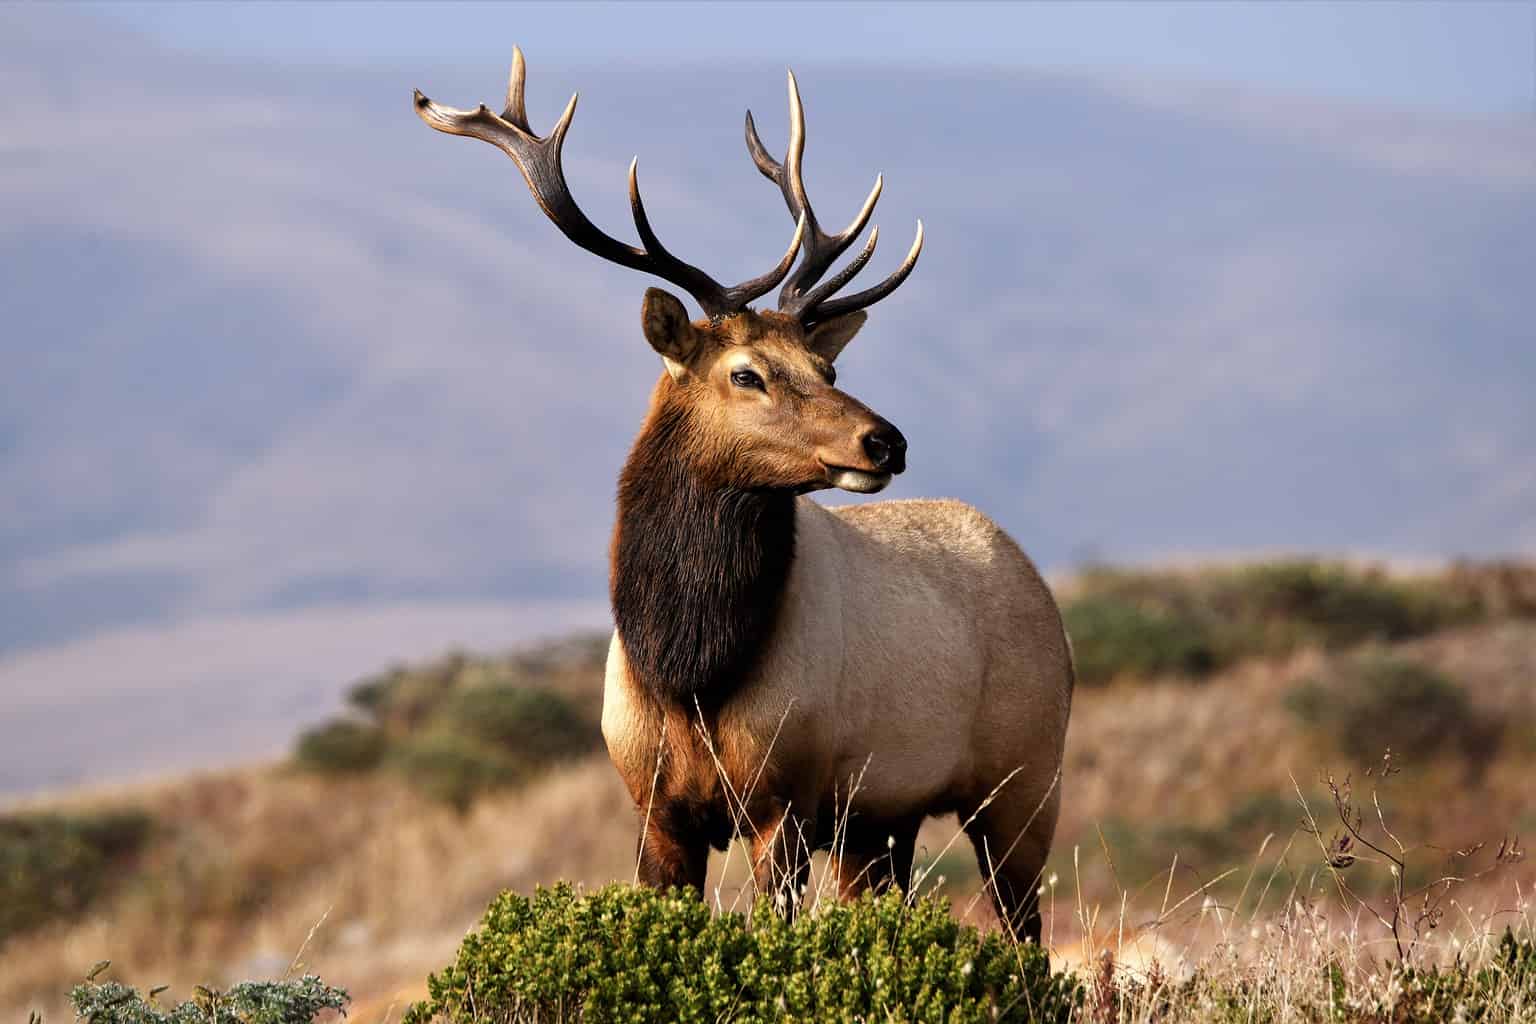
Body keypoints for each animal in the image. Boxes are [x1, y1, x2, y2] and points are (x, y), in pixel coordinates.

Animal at [414, 49, 1075, 945]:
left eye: (826, 366)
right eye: (747, 373)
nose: (886, 442)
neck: (688, 670)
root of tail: (1040, 589)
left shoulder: (782, 798)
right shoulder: (657, 810)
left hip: (1024, 784)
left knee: (1026, 936)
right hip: (881, 823)